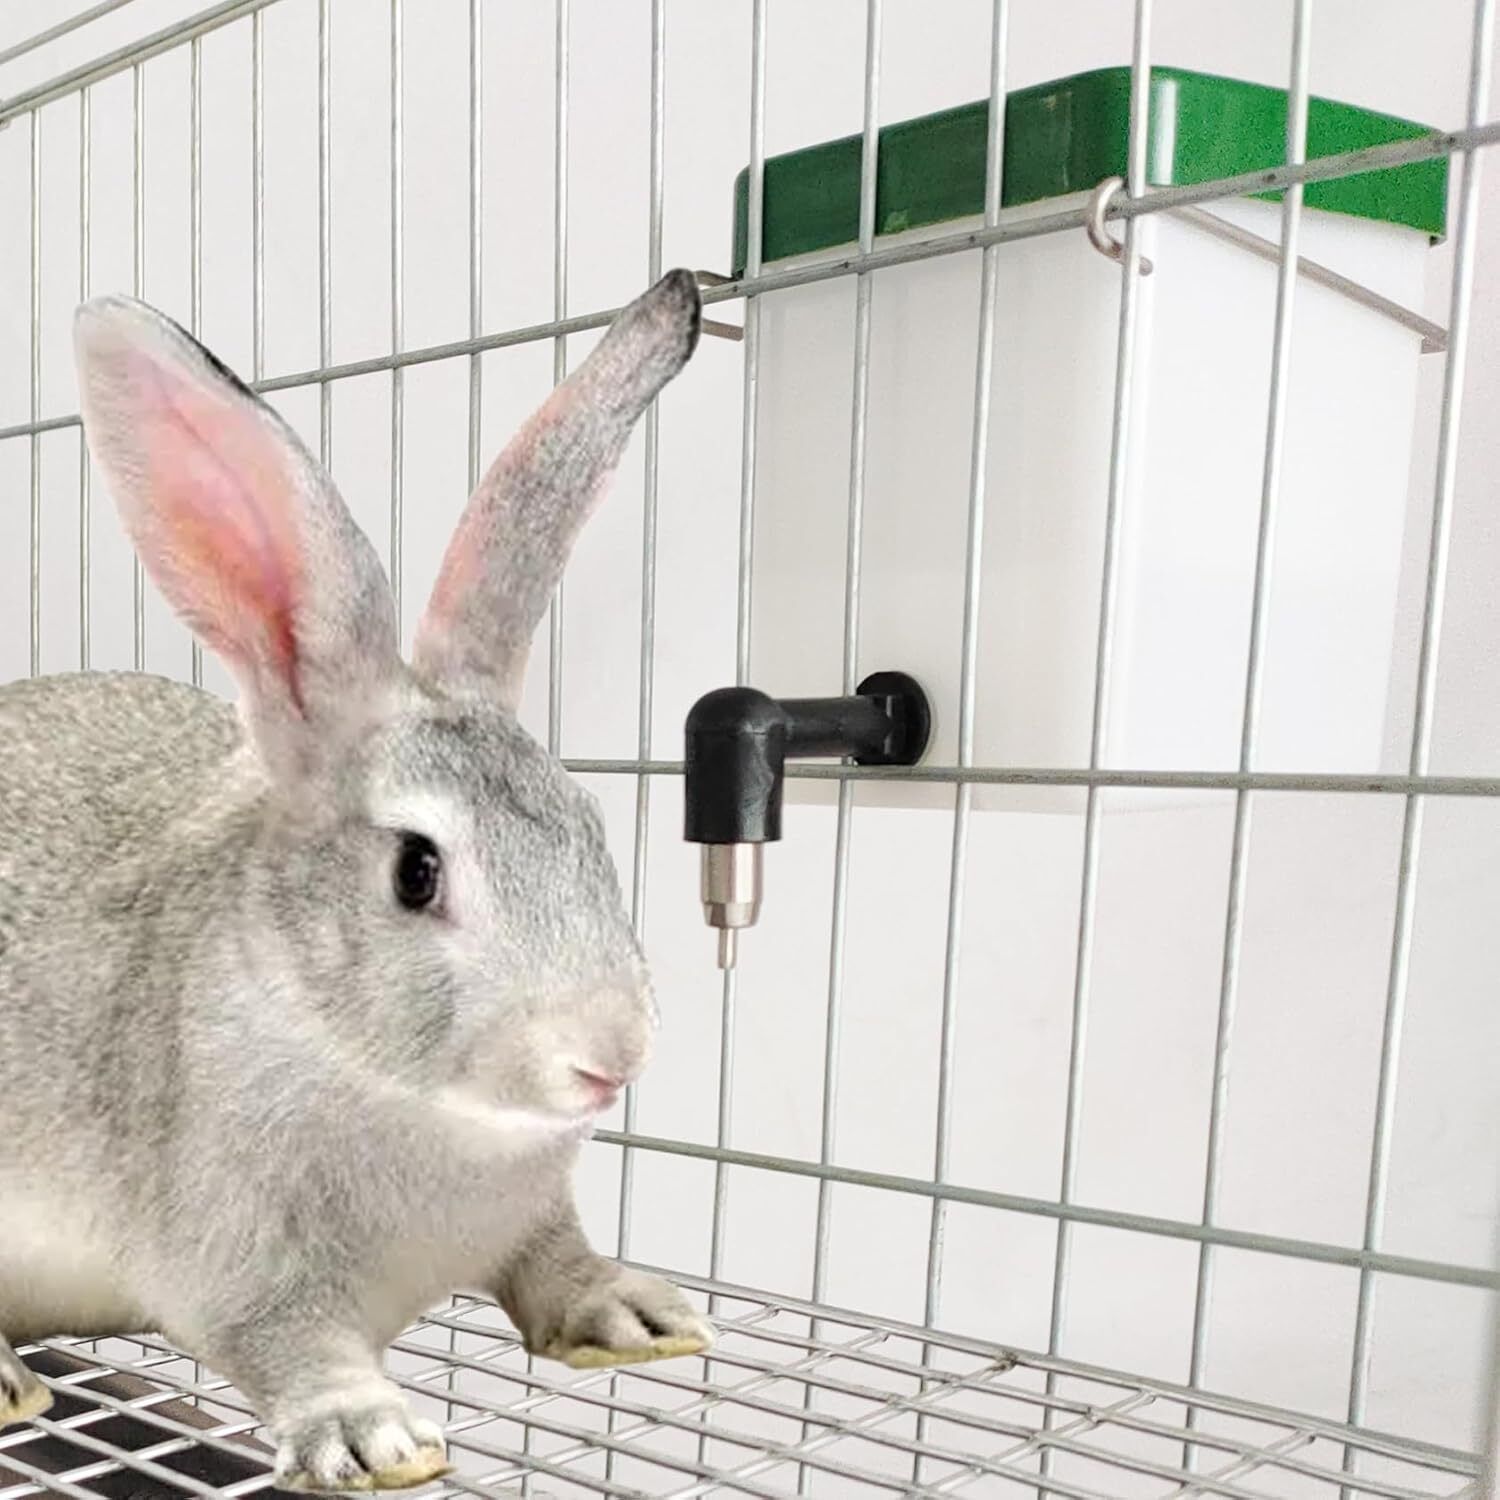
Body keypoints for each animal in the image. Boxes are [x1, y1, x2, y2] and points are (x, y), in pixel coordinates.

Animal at [0, 268, 713, 1493]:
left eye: (590, 826)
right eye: (416, 873)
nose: (610, 1056)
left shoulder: (531, 1214)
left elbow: (553, 1263)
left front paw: (635, 1317)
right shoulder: (231, 1251)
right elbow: (290, 1340)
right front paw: (373, 1437)